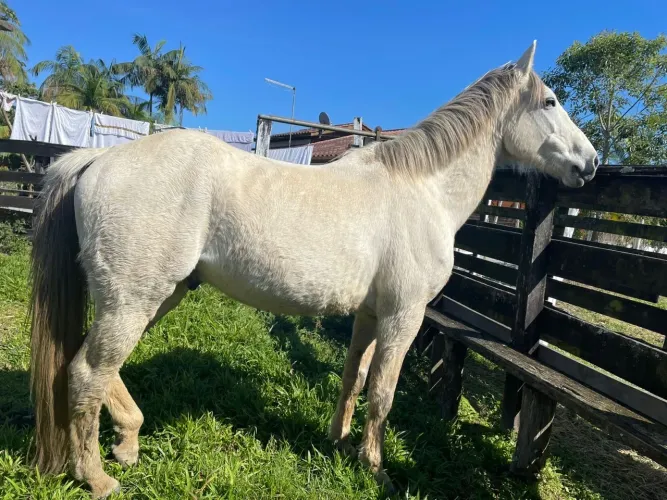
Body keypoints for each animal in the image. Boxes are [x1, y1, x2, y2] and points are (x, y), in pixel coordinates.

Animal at [28, 41, 598, 498]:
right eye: (550, 102)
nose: (590, 163)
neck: (423, 191)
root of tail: (96, 161)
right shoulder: (403, 316)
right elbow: (383, 392)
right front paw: (376, 468)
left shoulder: (370, 316)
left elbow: (353, 378)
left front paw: (338, 442)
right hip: (134, 299)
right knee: (86, 372)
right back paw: (97, 476)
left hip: (155, 296)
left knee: (92, 366)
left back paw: (127, 442)